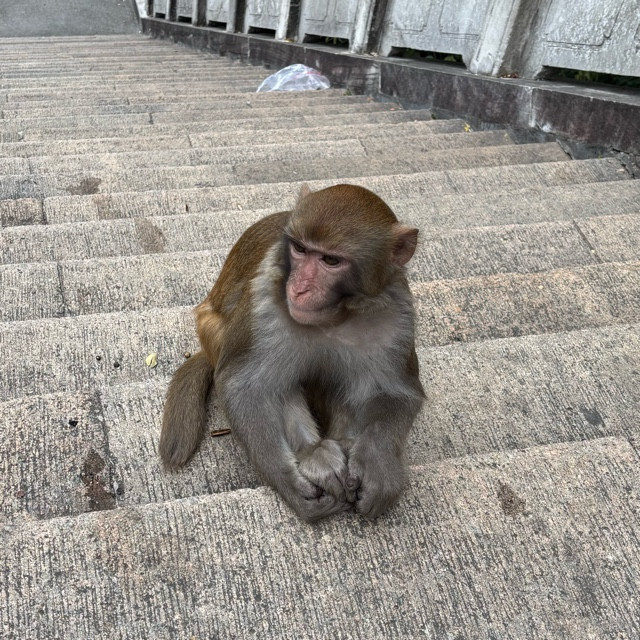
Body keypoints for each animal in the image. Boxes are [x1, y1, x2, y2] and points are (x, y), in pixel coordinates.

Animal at [160, 183, 425, 522]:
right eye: (299, 249)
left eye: (331, 260)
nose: (298, 288)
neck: (335, 316)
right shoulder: (267, 304)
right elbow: (246, 386)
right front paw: (288, 480)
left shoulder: (395, 315)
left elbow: (395, 392)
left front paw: (378, 466)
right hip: (215, 334)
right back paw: (316, 455)